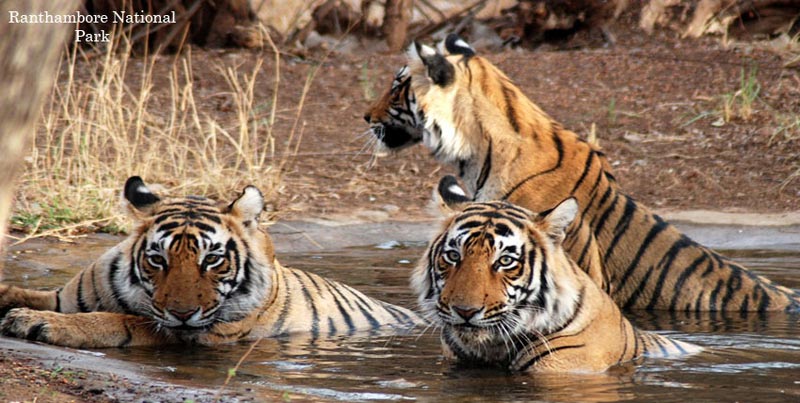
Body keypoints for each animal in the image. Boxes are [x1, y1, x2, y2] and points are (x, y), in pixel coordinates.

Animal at [0, 176, 422, 348]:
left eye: (213, 260)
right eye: (158, 259)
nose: (183, 313)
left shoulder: (195, 333)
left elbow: (119, 321)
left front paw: (36, 323)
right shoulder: (63, 296)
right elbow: (23, 292)